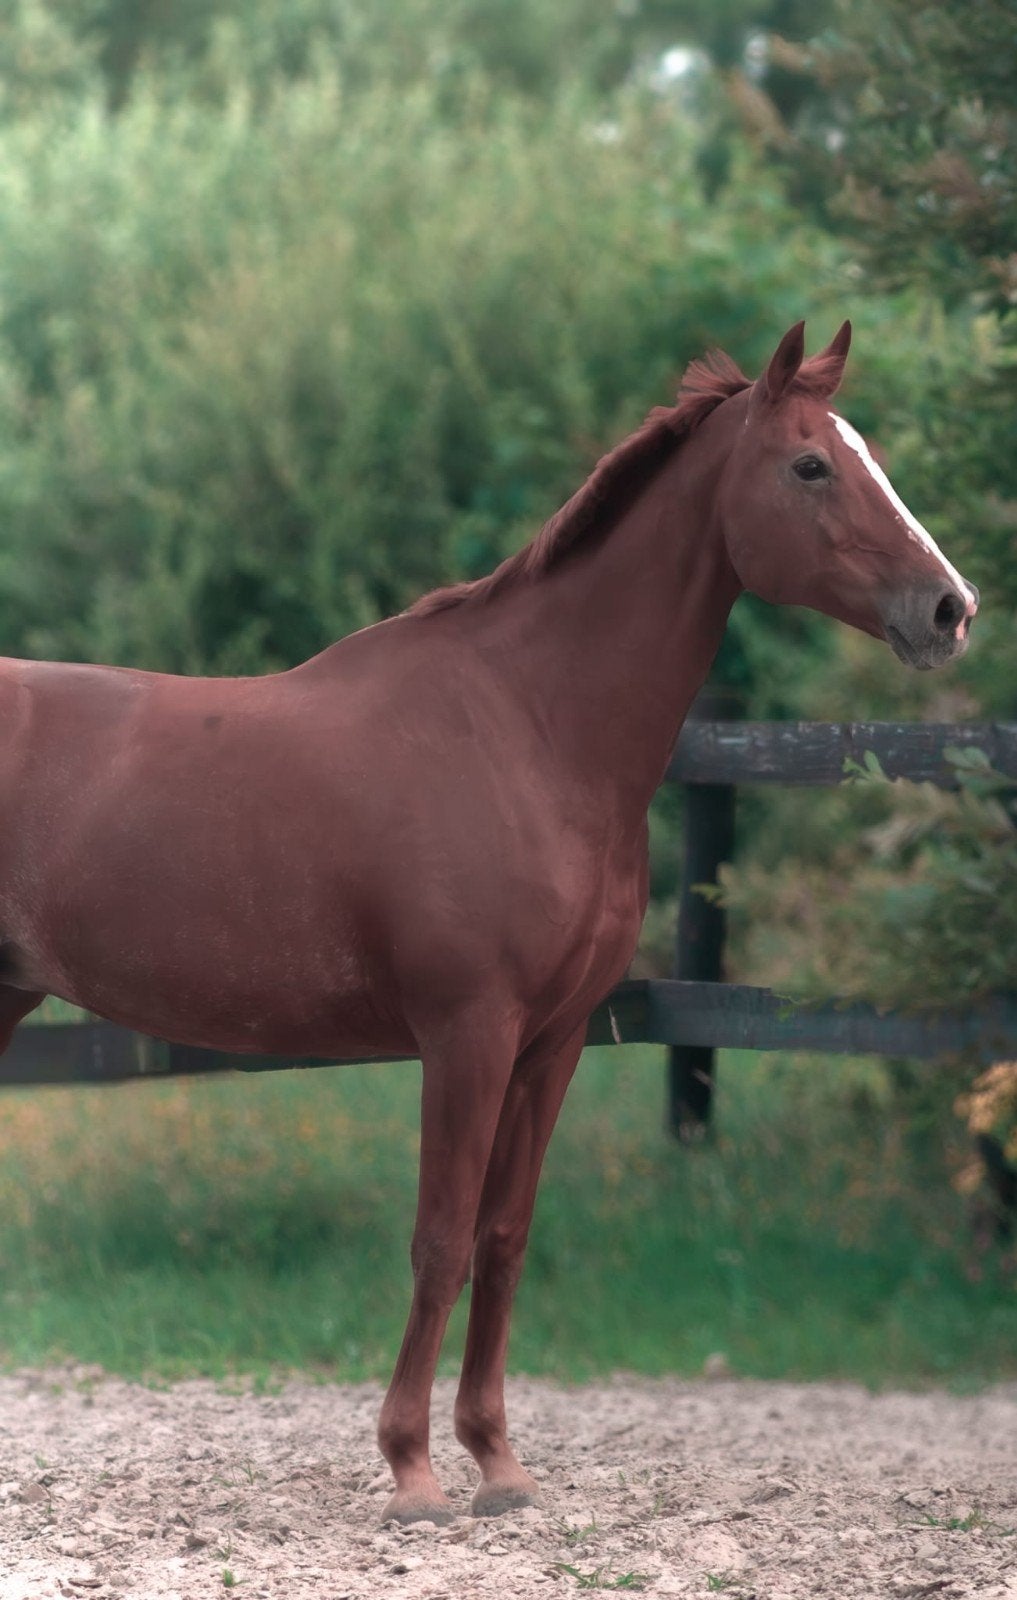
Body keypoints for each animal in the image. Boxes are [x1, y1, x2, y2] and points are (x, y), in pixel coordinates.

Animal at [0, 320, 977, 1525]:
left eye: (863, 452)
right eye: (810, 466)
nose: (949, 610)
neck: (529, 724)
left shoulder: (552, 1041)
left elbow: (504, 1238)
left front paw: (496, 1461)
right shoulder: (465, 1033)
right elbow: (441, 1239)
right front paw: (413, 1468)